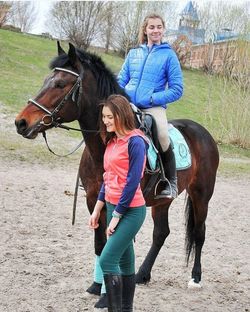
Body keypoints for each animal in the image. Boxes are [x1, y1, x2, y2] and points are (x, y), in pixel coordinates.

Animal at [15, 41, 219, 290]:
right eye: (47, 80)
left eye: (60, 84)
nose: (21, 122)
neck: (106, 147)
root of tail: (203, 132)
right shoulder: (94, 199)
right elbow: (100, 245)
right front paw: (97, 286)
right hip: (163, 201)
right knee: (161, 233)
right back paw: (143, 274)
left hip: (201, 195)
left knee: (199, 233)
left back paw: (195, 277)